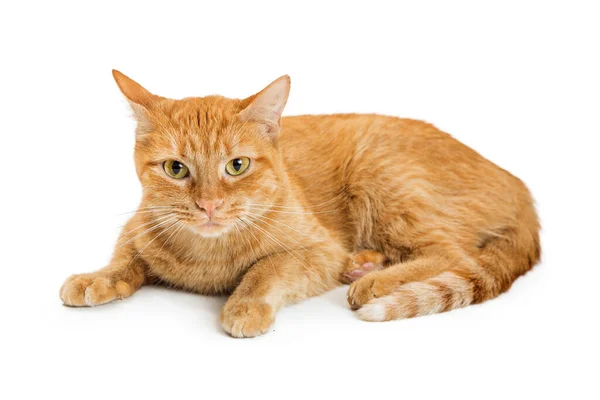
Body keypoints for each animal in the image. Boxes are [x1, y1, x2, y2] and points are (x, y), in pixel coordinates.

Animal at [58, 71, 540, 338]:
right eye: (176, 169)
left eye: (236, 165)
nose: (210, 205)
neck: (206, 255)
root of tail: (519, 185)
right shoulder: (137, 226)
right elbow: (124, 258)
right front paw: (97, 277)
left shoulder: (317, 250)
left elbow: (266, 269)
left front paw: (245, 304)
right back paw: (366, 264)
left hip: (381, 173)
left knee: (453, 253)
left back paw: (374, 280)